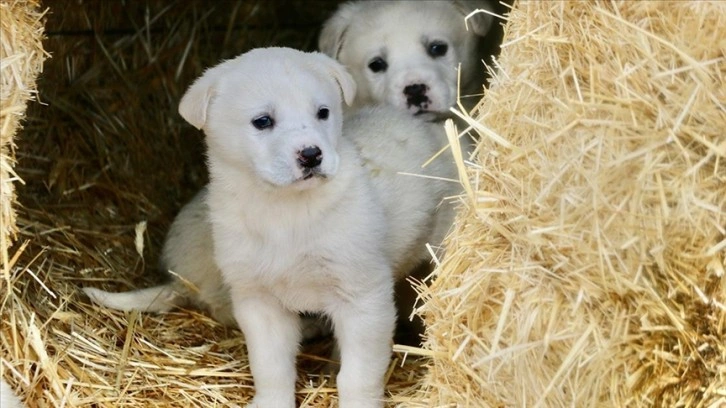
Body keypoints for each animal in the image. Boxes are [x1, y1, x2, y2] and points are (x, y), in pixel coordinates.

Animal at [84, 47, 456, 408]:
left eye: (323, 113)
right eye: (263, 121)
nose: (312, 155)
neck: (283, 210)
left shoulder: (363, 298)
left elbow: (357, 376)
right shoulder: (258, 302)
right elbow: (270, 368)